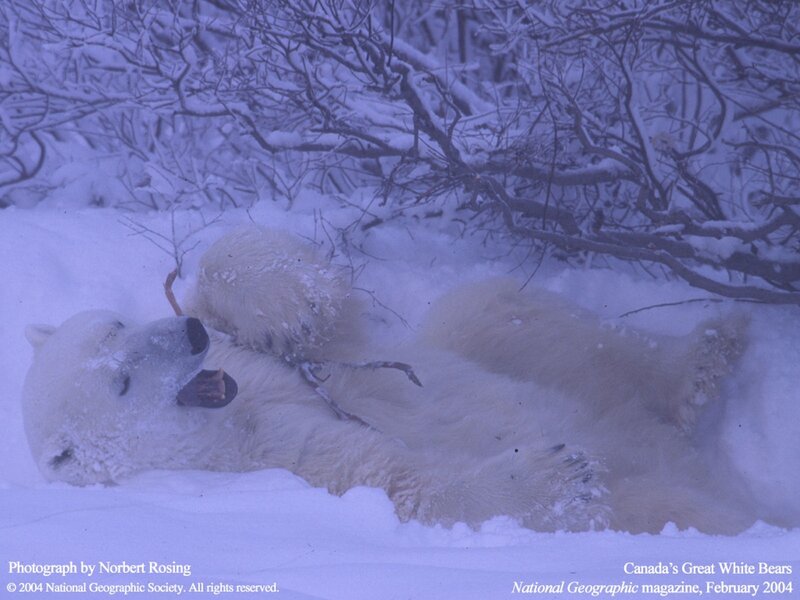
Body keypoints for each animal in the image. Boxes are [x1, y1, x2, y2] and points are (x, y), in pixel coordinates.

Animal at [22, 226, 758, 534]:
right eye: (120, 384)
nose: (190, 337)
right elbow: (403, 485)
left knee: (499, 313)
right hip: (653, 494)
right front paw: (553, 474)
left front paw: (288, 303)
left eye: (117, 324)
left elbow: (320, 322)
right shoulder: (283, 465)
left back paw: (705, 356)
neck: (228, 420)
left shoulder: (267, 371)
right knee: (656, 505)